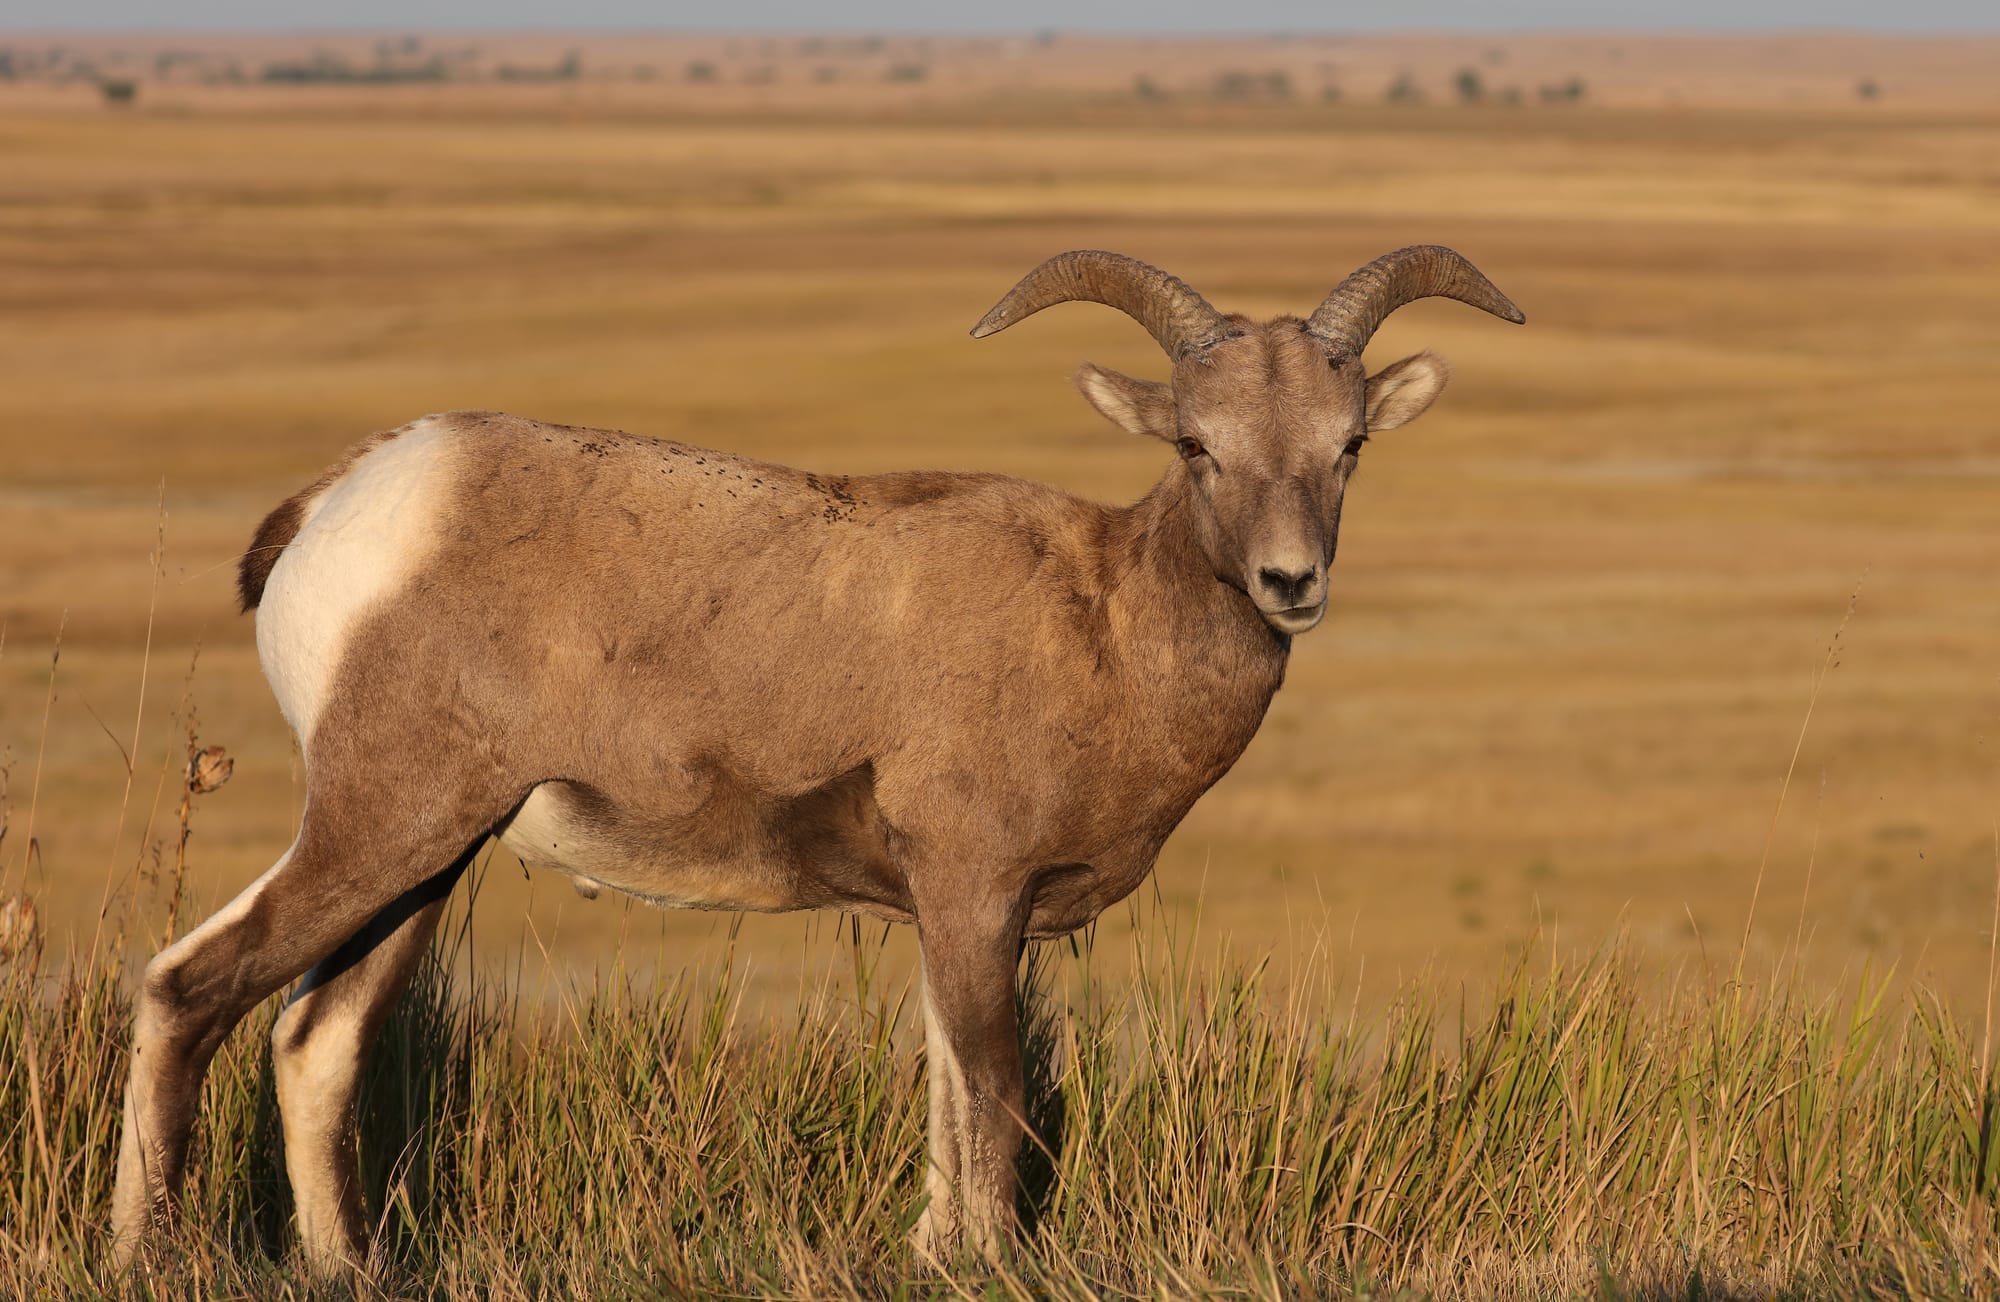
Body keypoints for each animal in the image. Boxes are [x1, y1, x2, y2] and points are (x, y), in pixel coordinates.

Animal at [110, 245, 1522, 1274]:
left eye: (1346, 446)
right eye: (1195, 445)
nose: (1290, 584)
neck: (1103, 626)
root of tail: (337, 511)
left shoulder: (958, 917)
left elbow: (950, 1089)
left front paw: (935, 1249)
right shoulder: (970, 893)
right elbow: (993, 1088)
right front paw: (983, 1258)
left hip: (424, 863)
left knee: (316, 1040)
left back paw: (350, 1268)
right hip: (378, 826)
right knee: (189, 989)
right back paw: (152, 1256)